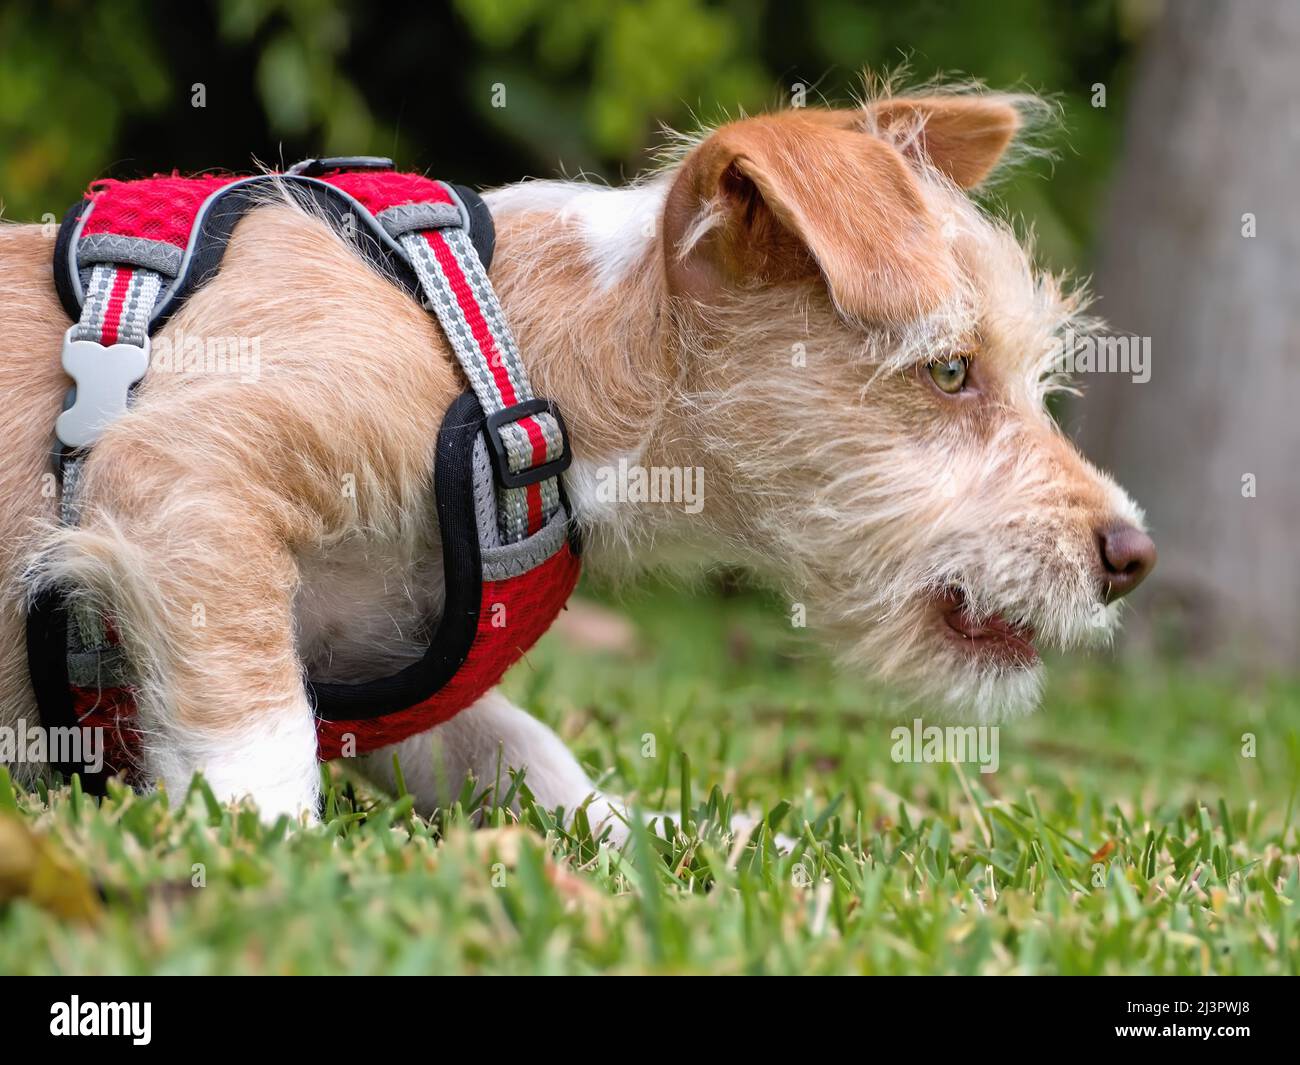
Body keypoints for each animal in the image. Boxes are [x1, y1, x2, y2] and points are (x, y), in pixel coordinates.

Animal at [0, 89, 1159, 842]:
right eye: (950, 370)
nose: (1132, 557)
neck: (511, 354)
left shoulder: (383, 670)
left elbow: (529, 756)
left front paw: (685, 841)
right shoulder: (181, 478)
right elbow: (257, 724)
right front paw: (263, 855)